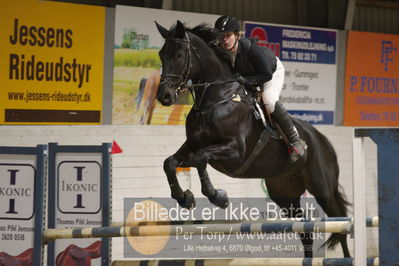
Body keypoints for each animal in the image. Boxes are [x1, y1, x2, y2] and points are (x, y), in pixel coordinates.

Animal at [155, 20, 352, 258]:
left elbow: (201, 158)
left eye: (180, 55)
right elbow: (170, 162)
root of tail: (323, 140)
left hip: (322, 189)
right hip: (284, 193)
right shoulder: (192, 145)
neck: (215, 100)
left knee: (340, 225)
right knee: (305, 229)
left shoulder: (235, 152)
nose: (164, 96)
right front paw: (185, 198)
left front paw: (217, 196)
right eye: (161, 54)